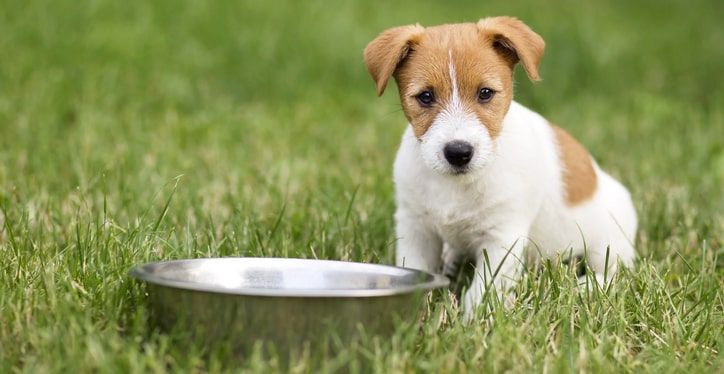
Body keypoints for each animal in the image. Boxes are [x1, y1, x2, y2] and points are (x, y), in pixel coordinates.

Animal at [364, 17, 636, 320]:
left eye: (485, 93)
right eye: (425, 96)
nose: (458, 152)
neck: (456, 185)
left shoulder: (502, 237)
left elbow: (482, 290)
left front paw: (472, 323)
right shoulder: (416, 228)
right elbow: (416, 269)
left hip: (609, 243)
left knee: (613, 273)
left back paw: (586, 286)